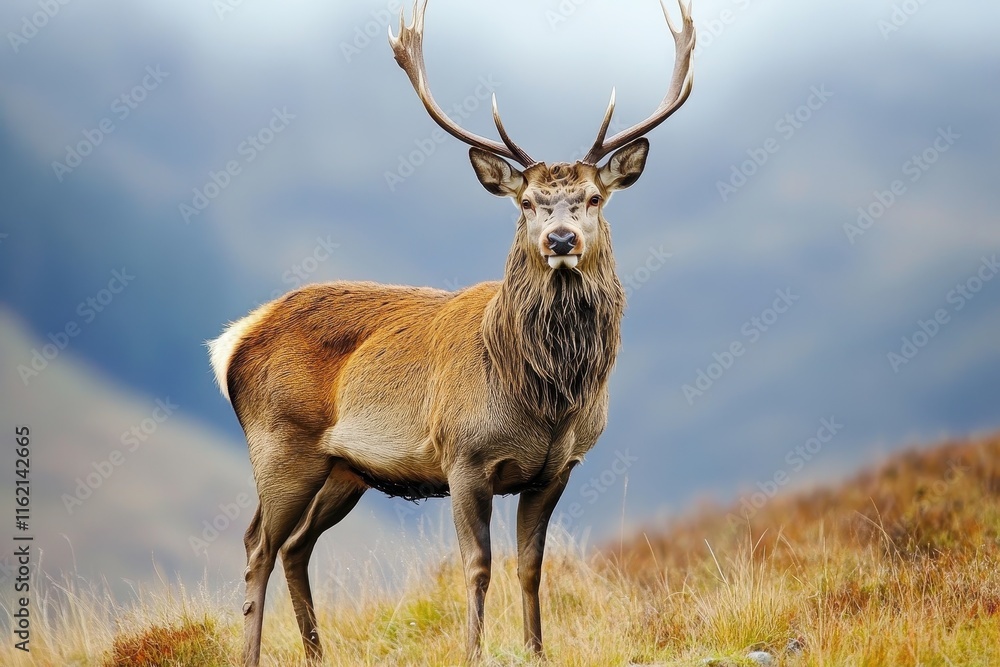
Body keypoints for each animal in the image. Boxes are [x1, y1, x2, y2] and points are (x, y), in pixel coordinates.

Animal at [208, 1, 694, 664]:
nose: (560, 240)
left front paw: (537, 650)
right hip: (281, 443)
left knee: (295, 545)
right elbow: (477, 566)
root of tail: (233, 339)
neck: (544, 398)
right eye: (527, 203)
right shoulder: (463, 456)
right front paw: (473, 651)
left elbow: (531, 566)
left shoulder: (558, 469)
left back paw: (316, 652)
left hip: (344, 469)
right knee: (258, 543)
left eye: (594, 198)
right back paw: (253, 652)